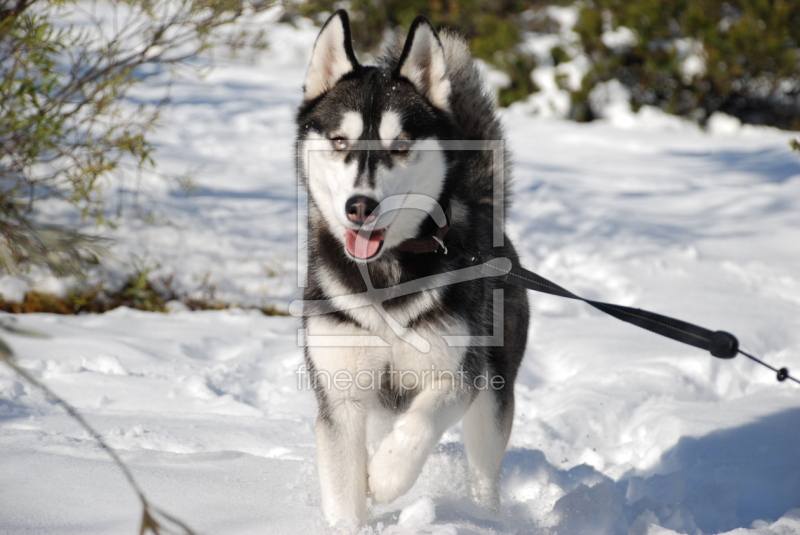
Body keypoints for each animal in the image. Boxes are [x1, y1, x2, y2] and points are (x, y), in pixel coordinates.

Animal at [296, 10, 532, 528]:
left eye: (400, 146)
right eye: (339, 140)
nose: (360, 206)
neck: (385, 274)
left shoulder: (458, 375)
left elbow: (419, 423)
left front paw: (386, 476)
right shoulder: (341, 395)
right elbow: (343, 487)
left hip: (493, 393)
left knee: (484, 469)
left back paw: (485, 517)